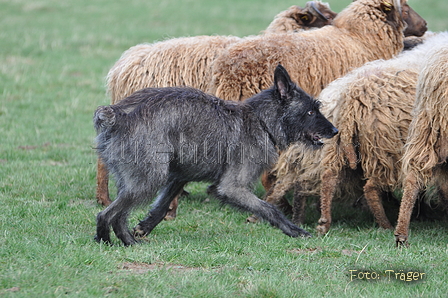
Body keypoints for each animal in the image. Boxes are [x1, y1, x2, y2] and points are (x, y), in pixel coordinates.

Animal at [93, 66, 336, 247]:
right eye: (311, 111)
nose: (335, 131)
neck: (261, 122)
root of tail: (118, 114)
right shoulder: (231, 187)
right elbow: (269, 208)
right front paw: (294, 230)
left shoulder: (180, 175)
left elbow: (162, 206)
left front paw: (145, 227)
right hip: (149, 179)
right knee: (106, 214)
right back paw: (106, 240)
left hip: (136, 179)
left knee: (119, 214)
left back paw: (127, 240)